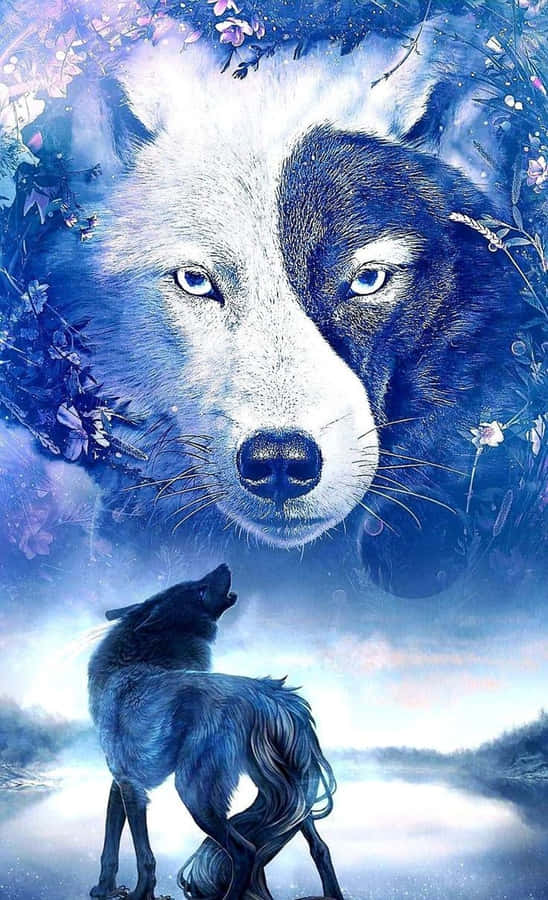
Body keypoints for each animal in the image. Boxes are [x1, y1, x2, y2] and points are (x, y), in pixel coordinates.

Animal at [88, 564, 343, 900]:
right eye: (196, 588)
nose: (224, 565)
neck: (132, 663)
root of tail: (270, 695)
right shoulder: (124, 783)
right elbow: (111, 844)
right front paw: (105, 889)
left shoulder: (132, 786)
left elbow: (144, 856)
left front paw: (139, 895)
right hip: (290, 792)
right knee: (319, 847)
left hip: (195, 793)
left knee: (245, 852)